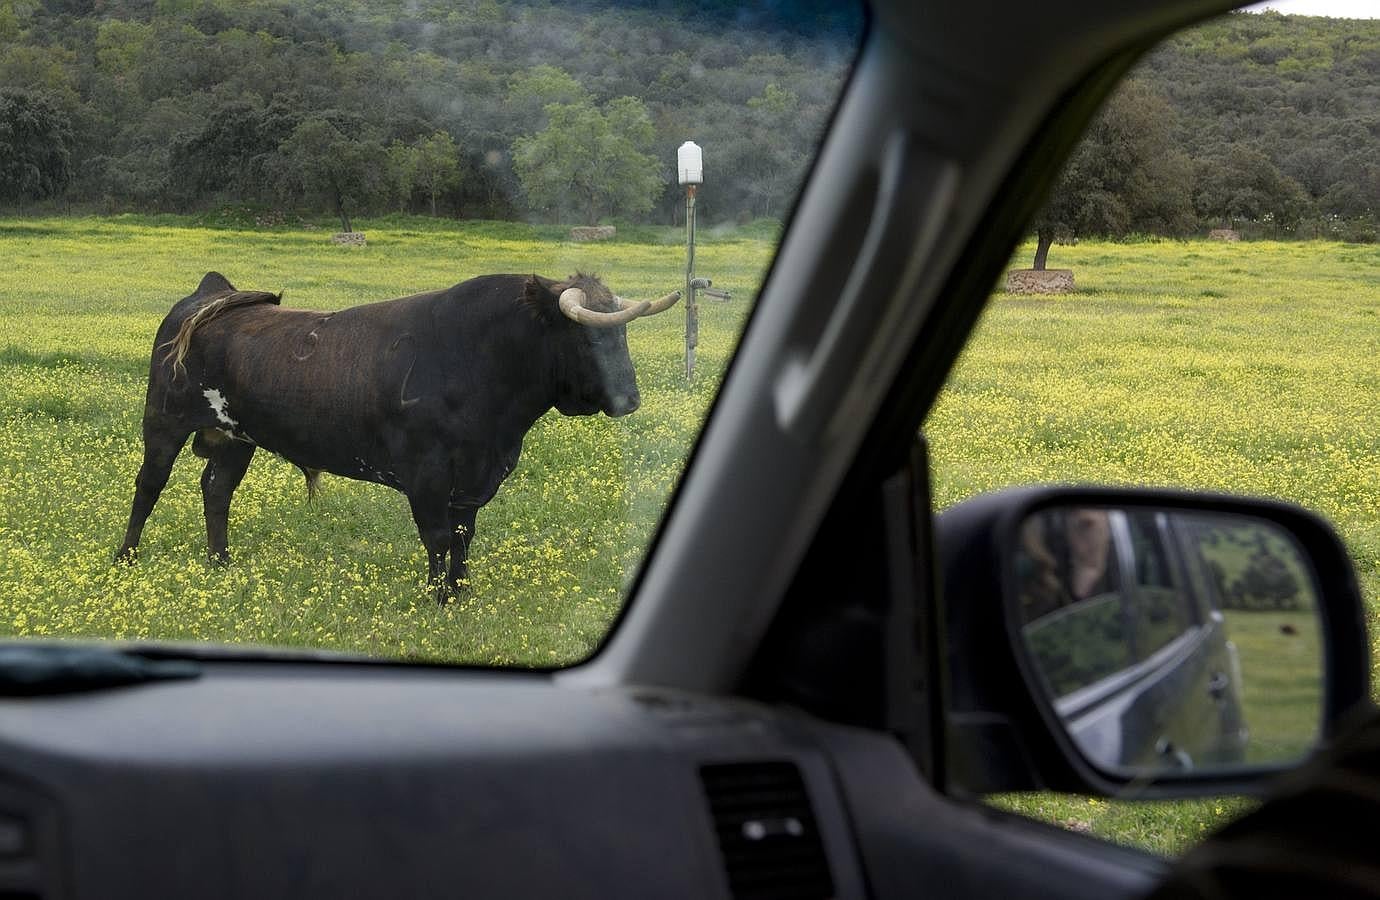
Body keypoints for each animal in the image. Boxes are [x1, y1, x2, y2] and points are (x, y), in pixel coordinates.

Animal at [114, 270, 678, 601]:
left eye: (622, 331)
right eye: (588, 336)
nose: (629, 400)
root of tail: (214, 295)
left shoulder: (476, 474)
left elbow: (463, 535)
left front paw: (461, 593)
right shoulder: (426, 472)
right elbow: (437, 536)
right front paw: (437, 597)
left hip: (236, 437)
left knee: (216, 490)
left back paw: (220, 563)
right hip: (162, 422)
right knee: (149, 486)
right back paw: (126, 559)